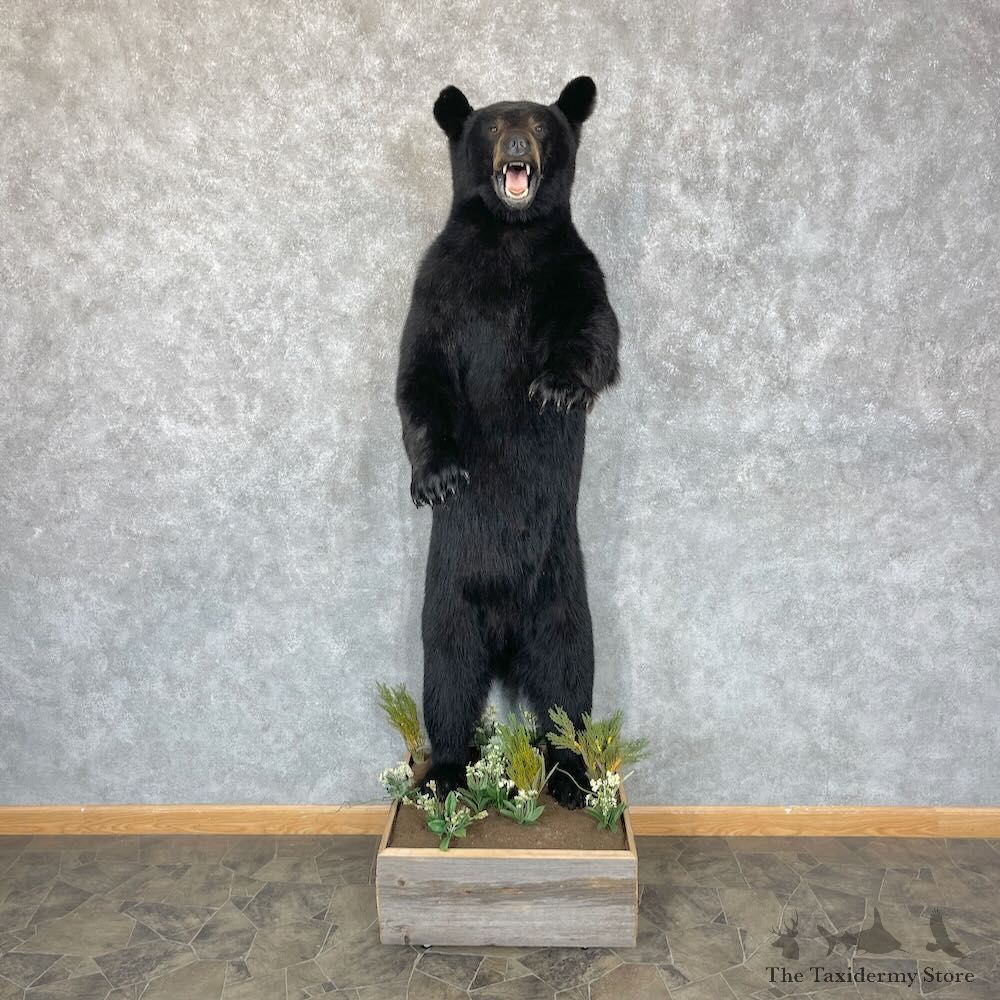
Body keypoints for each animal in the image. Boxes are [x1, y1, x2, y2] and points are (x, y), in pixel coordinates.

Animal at [395, 77, 620, 807]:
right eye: (493, 125)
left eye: (542, 125)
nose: (519, 143)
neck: (512, 238)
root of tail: (504, 637)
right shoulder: (438, 283)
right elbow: (421, 372)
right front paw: (437, 476)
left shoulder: (576, 270)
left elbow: (597, 331)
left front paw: (555, 388)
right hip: (448, 602)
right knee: (447, 681)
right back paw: (444, 773)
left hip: (564, 598)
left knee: (567, 684)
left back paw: (572, 776)